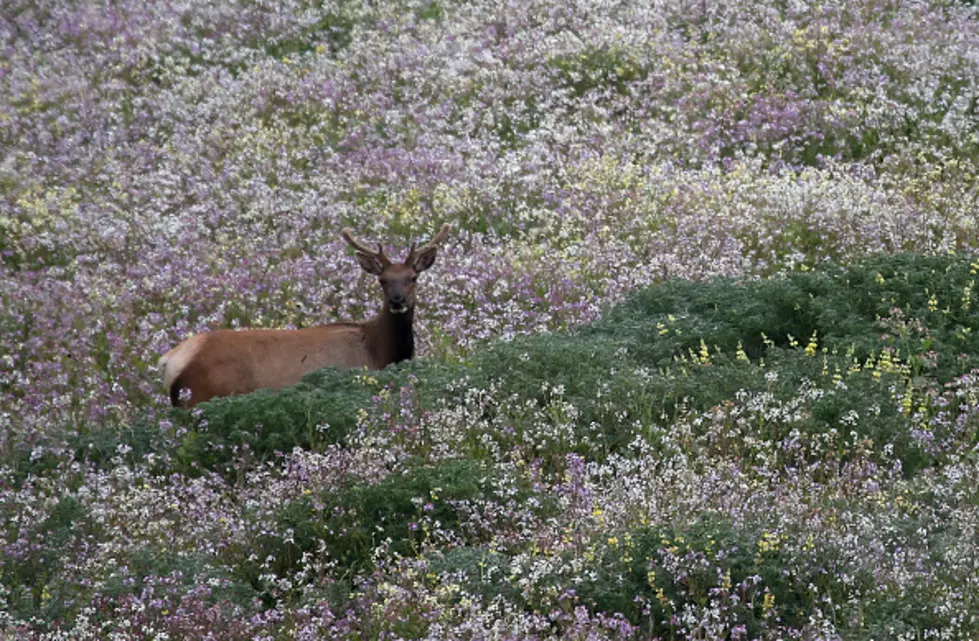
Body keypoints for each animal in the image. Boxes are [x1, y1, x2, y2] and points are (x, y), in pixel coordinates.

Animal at [161, 222, 452, 408]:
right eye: (382, 280)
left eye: (413, 278)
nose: (397, 301)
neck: (379, 350)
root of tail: (169, 360)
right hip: (203, 396)